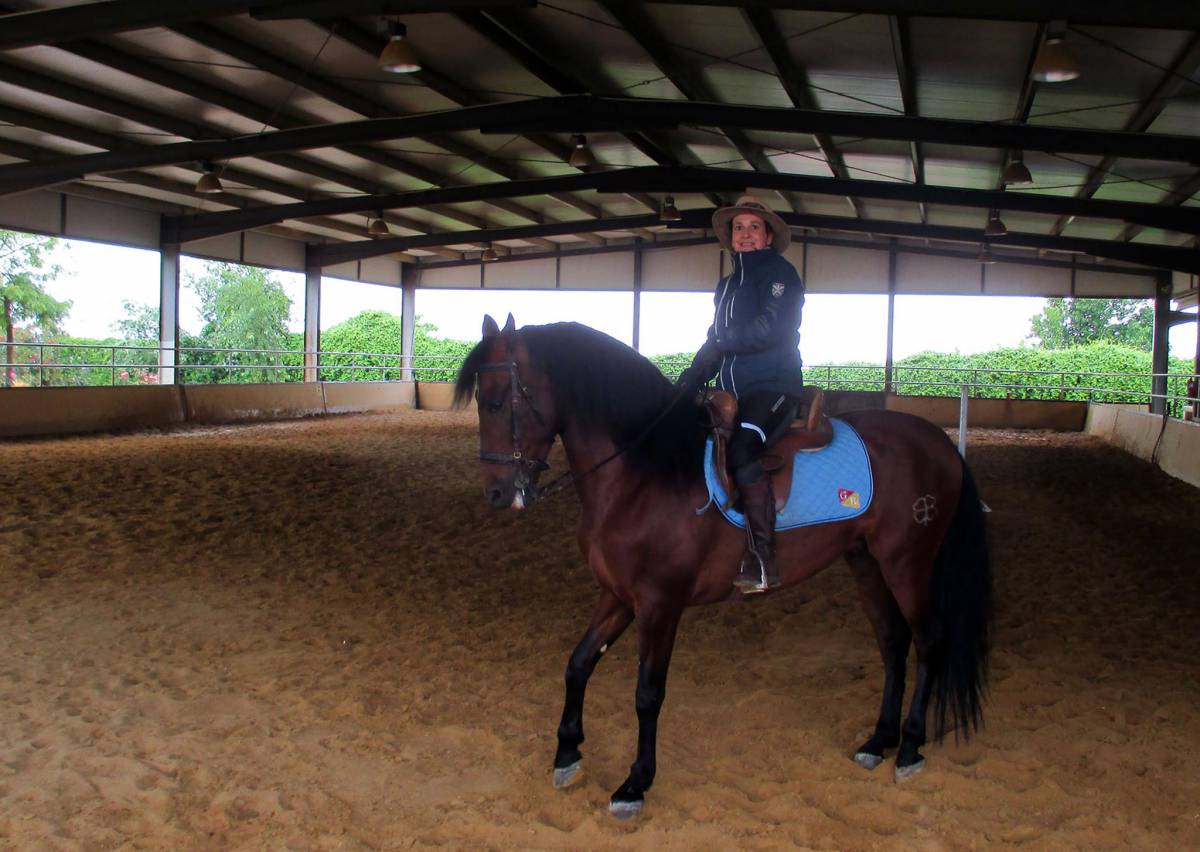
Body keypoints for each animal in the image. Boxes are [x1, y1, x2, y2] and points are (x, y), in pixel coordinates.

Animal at [455, 314, 992, 819]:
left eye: (499, 400)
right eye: (482, 399)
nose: (497, 494)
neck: (643, 472)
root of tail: (937, 442)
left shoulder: (660, 605)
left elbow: (647, 693)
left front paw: (635, 784)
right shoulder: (619, 596)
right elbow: (578, 664)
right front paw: (567, 755)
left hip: (907, 562)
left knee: (929, 640)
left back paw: (910, 747)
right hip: (866, 561)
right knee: (894, 642)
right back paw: (878, 741)